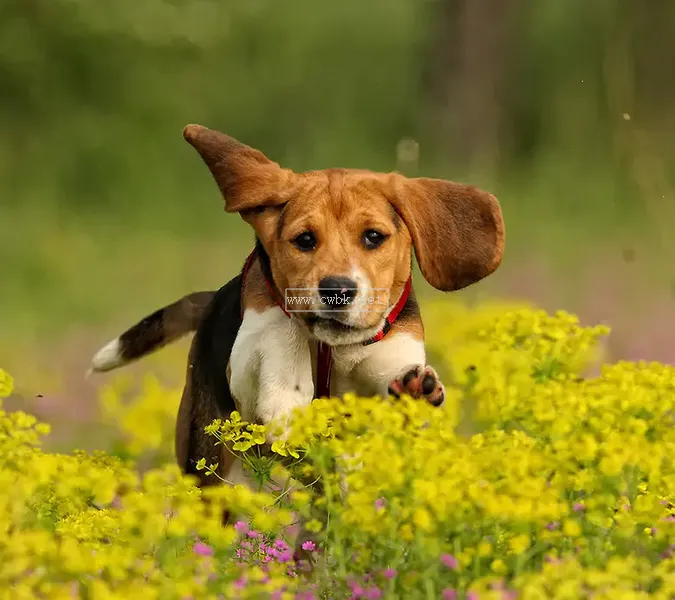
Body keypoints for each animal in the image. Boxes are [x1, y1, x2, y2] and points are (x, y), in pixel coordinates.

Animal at [90, 123, 504, 496]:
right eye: (304, 240)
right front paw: (286, 397)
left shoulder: (394, 346)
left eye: (373, 236)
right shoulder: (249, 351)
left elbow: (393, 374)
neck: (332, 349)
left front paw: (414, 391)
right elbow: (281, 320)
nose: (337, 290)